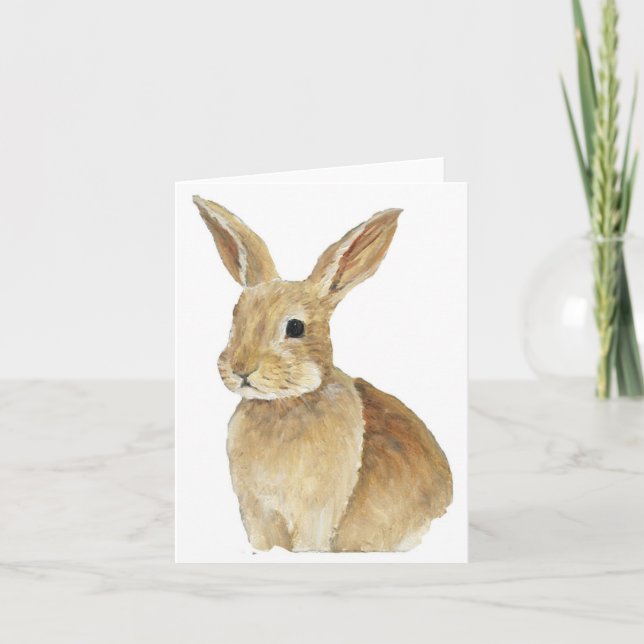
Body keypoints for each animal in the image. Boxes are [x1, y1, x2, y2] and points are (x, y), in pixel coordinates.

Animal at [193, 195, 452, 552]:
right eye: (235, 318)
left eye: (295, 327)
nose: (241, 368)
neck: (286, 404)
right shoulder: (257, 513)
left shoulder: (316, 514)